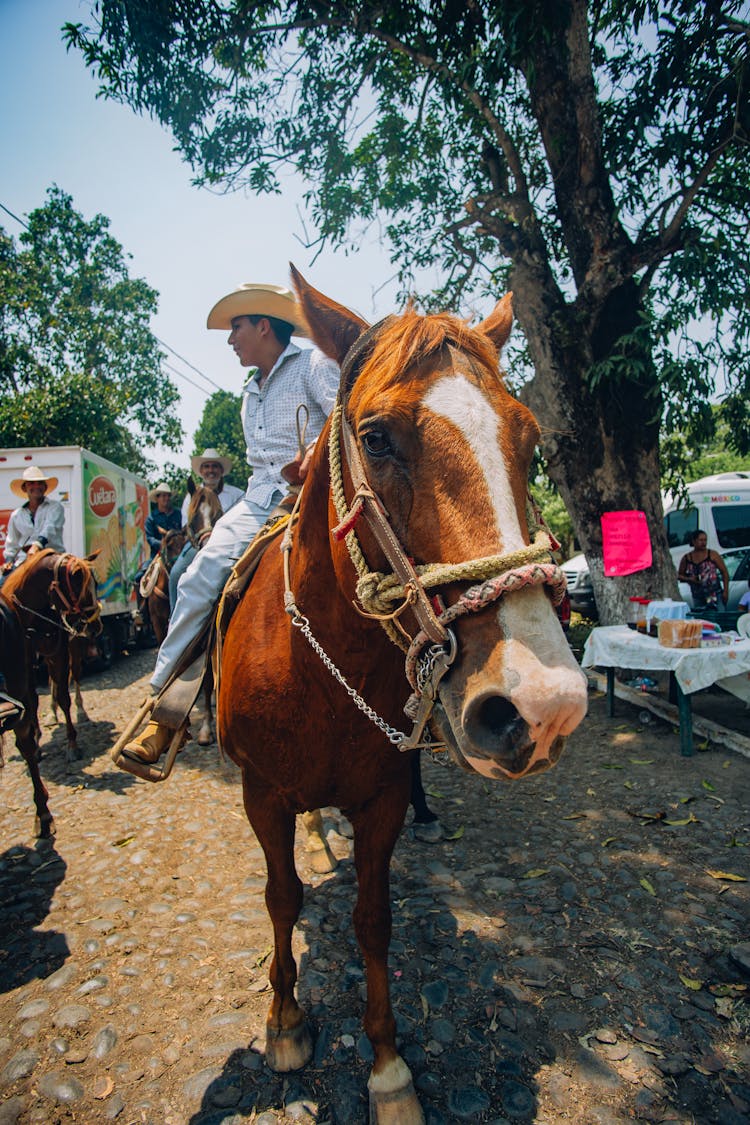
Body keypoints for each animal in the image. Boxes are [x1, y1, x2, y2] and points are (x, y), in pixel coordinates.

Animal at [1, 549, 101, 769]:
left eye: (96, 585)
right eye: (79, 589)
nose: (96, 626)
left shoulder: (58, 653)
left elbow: (64, 696)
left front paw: (72, 745)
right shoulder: (26, 665)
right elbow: (32, 700)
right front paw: (37, 741)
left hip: (73, 649)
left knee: (74, 678)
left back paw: (81, 712)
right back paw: (51, 715)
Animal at [217, 270, 584, 1116]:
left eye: (530, 441)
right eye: (377, 436)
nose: (543, 704)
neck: (317, 670)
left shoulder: (378, 797)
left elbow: (373, 918)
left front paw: (387, 1065)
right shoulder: (262, 792)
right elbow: (282, 897)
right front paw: (285, 1020)